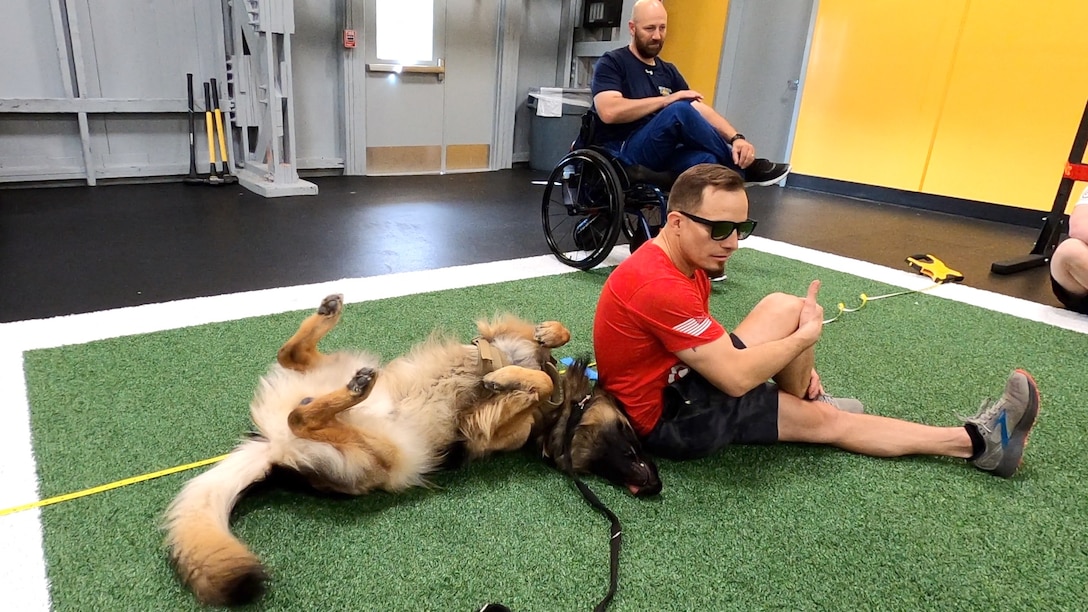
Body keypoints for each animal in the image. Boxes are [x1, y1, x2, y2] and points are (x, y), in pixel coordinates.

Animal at [162, 294, 574, 601]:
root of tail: (276, 453)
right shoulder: (499, 345)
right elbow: (545, 364)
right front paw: (547, 337)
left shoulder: (489, 425)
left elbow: (541, 383)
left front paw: (513, 374)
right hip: (354, 385)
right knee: (292, 368)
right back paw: (333, 324)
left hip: (378, 448)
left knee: (301, 412)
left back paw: (351, 385)